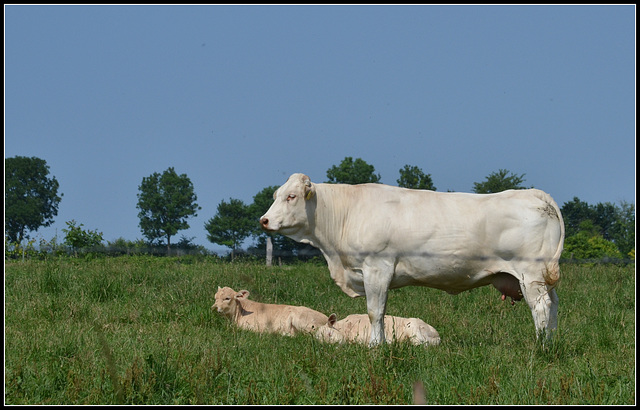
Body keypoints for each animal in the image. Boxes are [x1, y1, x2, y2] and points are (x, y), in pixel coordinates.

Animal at [260, 173, 564, 346]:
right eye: (276, 195)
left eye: (291, 196)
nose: (264, 220)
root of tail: (534, 194)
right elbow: (380, 313)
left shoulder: (376, 266)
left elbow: (375, 312)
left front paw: (376, 347)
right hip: (542, 279)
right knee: (553, 308)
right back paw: (551, 343)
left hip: (531, 275)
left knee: (541, 308)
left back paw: (540, 347)